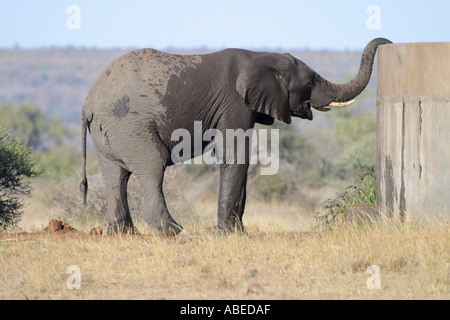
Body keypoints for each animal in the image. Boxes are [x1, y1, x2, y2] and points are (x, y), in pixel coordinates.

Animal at [80, 38, 390, 236]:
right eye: (311, 82)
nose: (385, 41)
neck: (260, 55)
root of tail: (89, 102)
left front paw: (238, 230)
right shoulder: (234, 103)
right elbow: (235, 155)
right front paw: (228, 233)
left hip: (109, 131)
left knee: (115, 176)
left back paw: (122, 233)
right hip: (130, 125)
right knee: (152, 167)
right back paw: (172, 232)